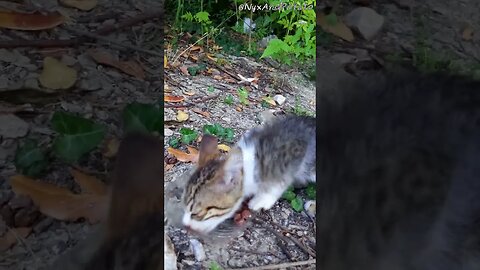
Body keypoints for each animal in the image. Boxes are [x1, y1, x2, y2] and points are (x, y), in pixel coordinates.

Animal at [180, 115, 316, 235]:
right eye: (184, 206)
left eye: (196, 213)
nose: (184, 225)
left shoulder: (293, 155)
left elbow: (278, 183)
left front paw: (262, 199)